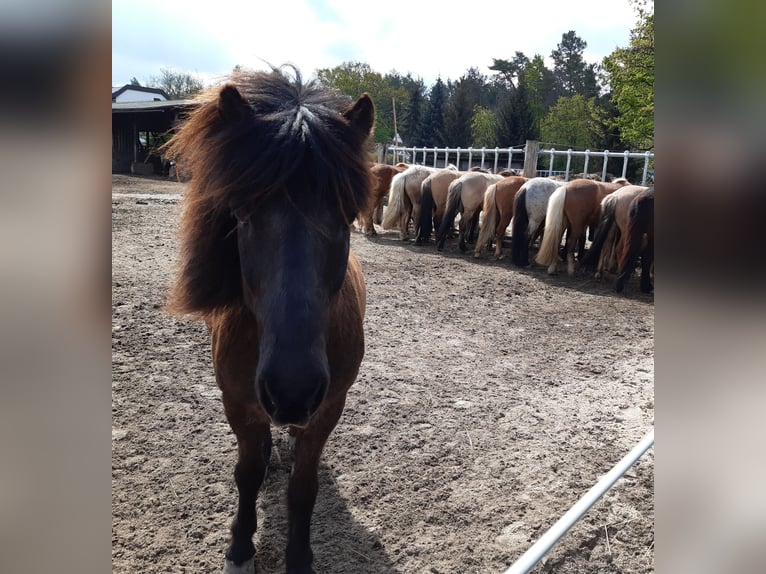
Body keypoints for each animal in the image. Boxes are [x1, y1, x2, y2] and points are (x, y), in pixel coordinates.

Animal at [164, 68, 376, 574]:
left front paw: (298, 557)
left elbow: (304, 487)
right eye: (241, 214)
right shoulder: (237, 402)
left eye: (346, 217)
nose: (292, 390)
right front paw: (240, 547)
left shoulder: (328, 408)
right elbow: (247, 474)